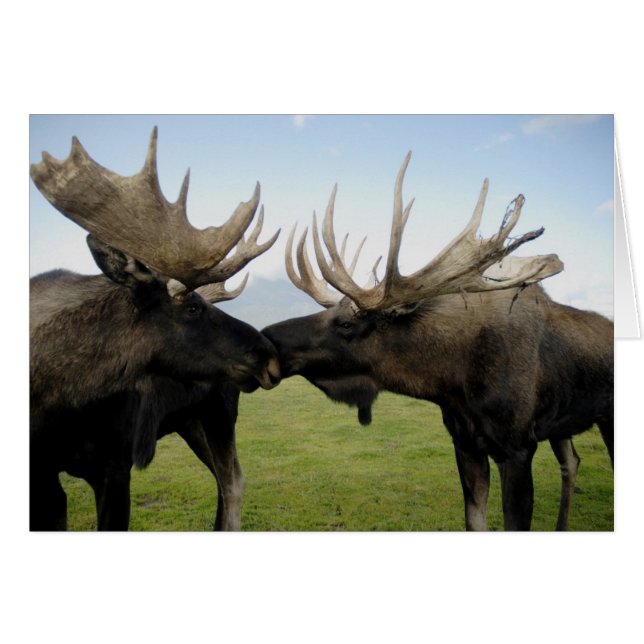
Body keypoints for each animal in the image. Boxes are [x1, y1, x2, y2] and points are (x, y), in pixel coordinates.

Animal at [30, 128, 281, 530]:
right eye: (193, 307)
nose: (271, 356)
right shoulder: (44, 477)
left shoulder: (114, 466)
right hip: (190, 422)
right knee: (221, 480)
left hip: (219, 412)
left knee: (233, 481)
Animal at [263, 152, 613, 531]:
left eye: (345, 324)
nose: (267, 339)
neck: (452, 382)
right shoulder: (465, 443)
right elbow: (474, 521)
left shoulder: (518, 448)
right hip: (563, 425)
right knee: (572, 462)